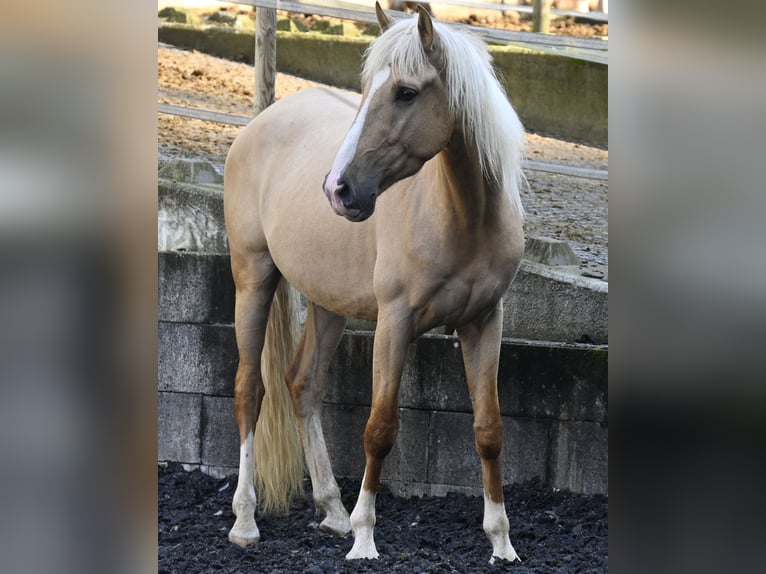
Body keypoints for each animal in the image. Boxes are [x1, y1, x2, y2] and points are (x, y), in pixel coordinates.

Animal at [224, 3, 528, 564]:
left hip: (327, 303)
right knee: (249, 390)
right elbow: (380, 428)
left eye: (406, 92)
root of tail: (260, 124)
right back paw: (246, 521)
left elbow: (490, 429)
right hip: (253, 278)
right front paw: (366, 539)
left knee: (303, 383)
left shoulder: (484, 322)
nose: (337, 189)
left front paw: (502, 541)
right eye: (366, 88)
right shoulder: (395, 322)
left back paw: (332, 510)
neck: (461, 216)